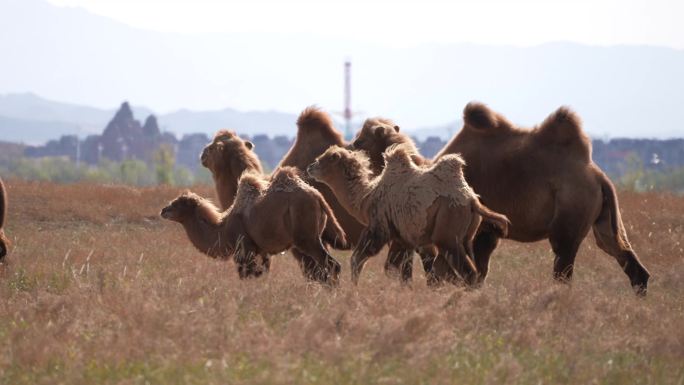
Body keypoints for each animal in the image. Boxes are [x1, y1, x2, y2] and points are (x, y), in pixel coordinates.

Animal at [160, 166, 342, 284]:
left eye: (179, 203)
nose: (164, 210)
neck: (224, 229)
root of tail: (318, 197)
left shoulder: (244, 249)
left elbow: (247, 276)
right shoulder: (261, 251)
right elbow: (261, 275)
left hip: (306, 238)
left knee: (332, 266)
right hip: (315, 236)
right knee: (323, 269)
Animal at [308, 144, 510, 284]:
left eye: (323, 159)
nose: (309, 167)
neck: (366, 197)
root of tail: (472, 200)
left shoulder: (380, 226)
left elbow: (359, 259)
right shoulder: (403, 238)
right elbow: (396, 270)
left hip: (447, 232)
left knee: (466, 273)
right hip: (465, 235)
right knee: (459, 268)